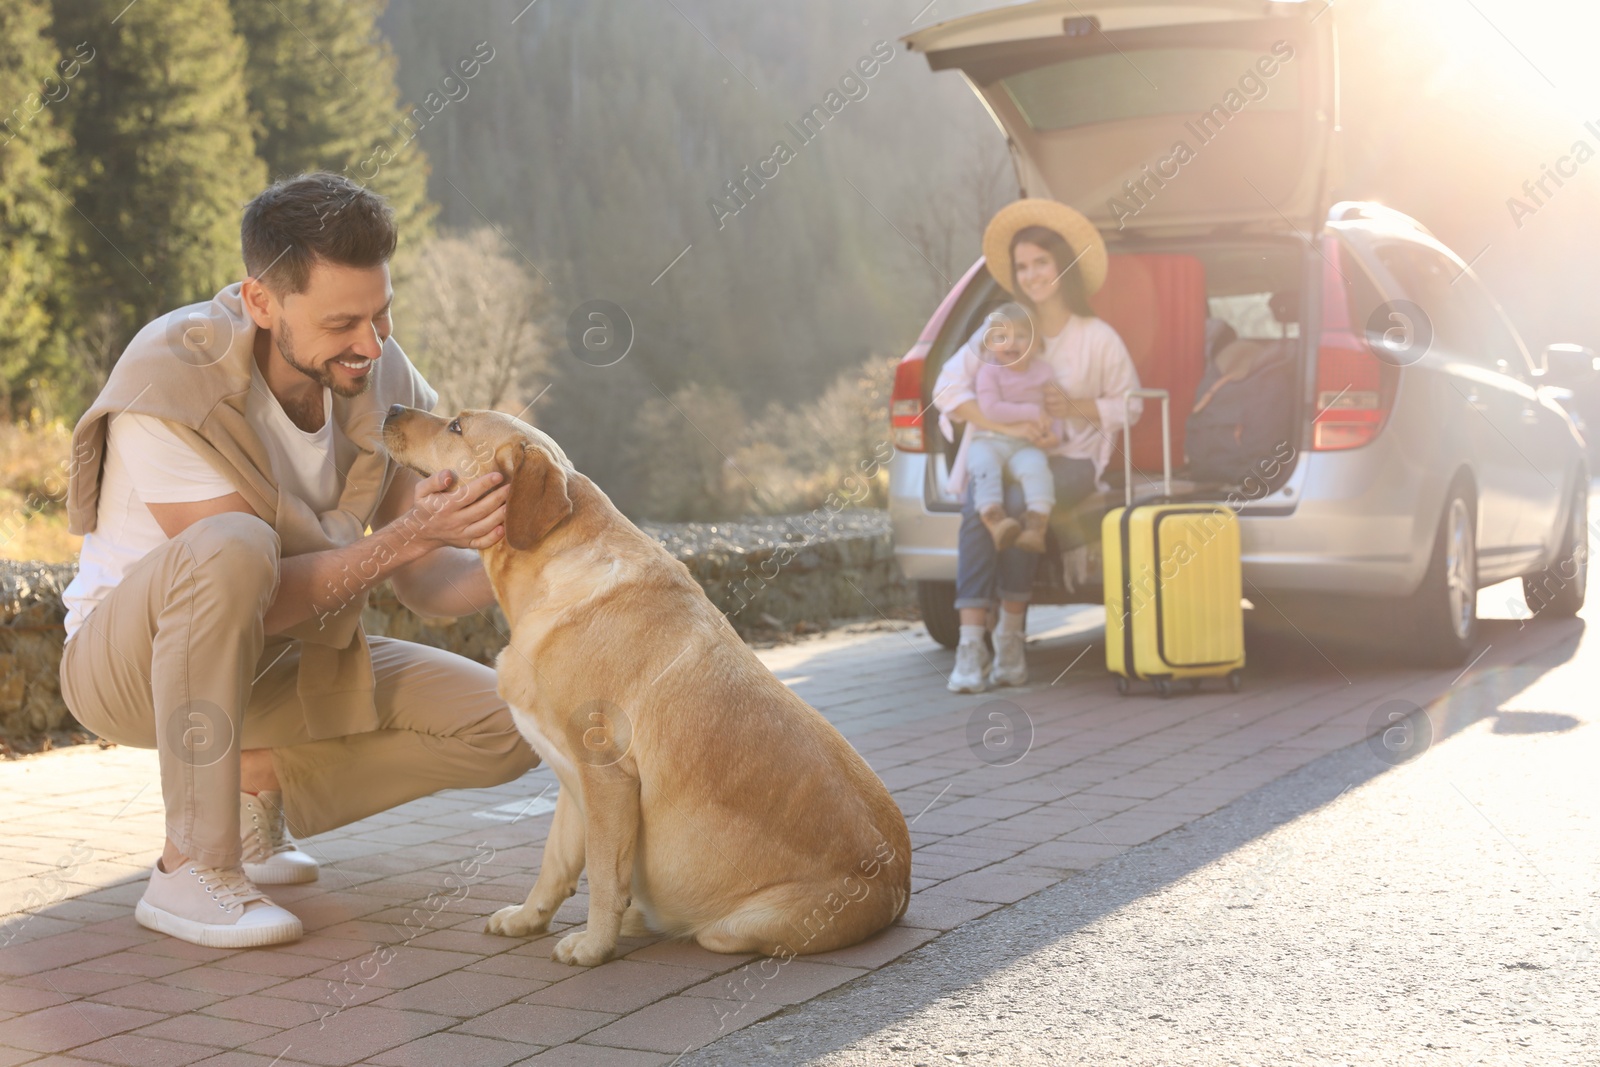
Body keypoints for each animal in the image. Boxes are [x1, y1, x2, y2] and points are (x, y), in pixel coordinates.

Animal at [380, 403, 915, 966]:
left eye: (456, 426)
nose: (391, 408)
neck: (551, 574)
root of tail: (898, 886)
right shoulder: (571, 776)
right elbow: (556, 861)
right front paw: (530, 918)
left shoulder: (606, 776)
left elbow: (603, 874)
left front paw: (593, 946)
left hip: (734, 927)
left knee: (707, 930)